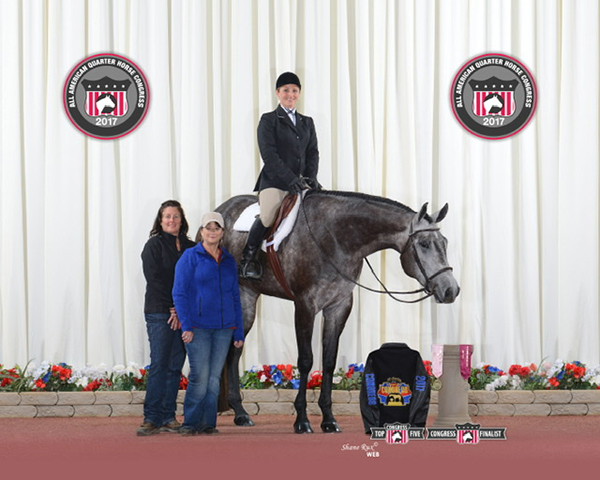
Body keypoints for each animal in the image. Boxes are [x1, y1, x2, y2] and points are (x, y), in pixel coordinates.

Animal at [213, 189, 462, 434]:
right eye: (424, 244)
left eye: (445, 242)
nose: (451, 290)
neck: (337, 239)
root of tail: (221, 210)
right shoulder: (305, 305)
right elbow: (306, 360)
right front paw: (302, 421)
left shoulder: (339, 306)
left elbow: (329, 361)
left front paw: (329, 420)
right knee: (232, 351)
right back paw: (238, 413)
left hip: (248, 296)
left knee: (234, 351)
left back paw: (240, 413)